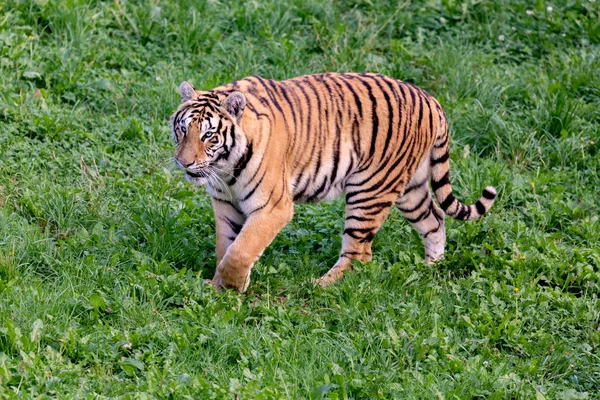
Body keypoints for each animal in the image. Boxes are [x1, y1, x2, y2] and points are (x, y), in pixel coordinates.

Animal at [169, 72, 496, 290]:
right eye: (182, 129)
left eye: (208, 135)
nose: (184, 162)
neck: (225, 168)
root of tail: (431, 100)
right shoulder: (226, 204)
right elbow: (225, 246)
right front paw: (218, 286)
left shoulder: (273, 207)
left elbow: (240, 250)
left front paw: (229, 291)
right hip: (410, 189)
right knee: (435, 219)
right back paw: (431, 267)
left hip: (369, 190)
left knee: (360, 253)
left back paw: (321, 285)